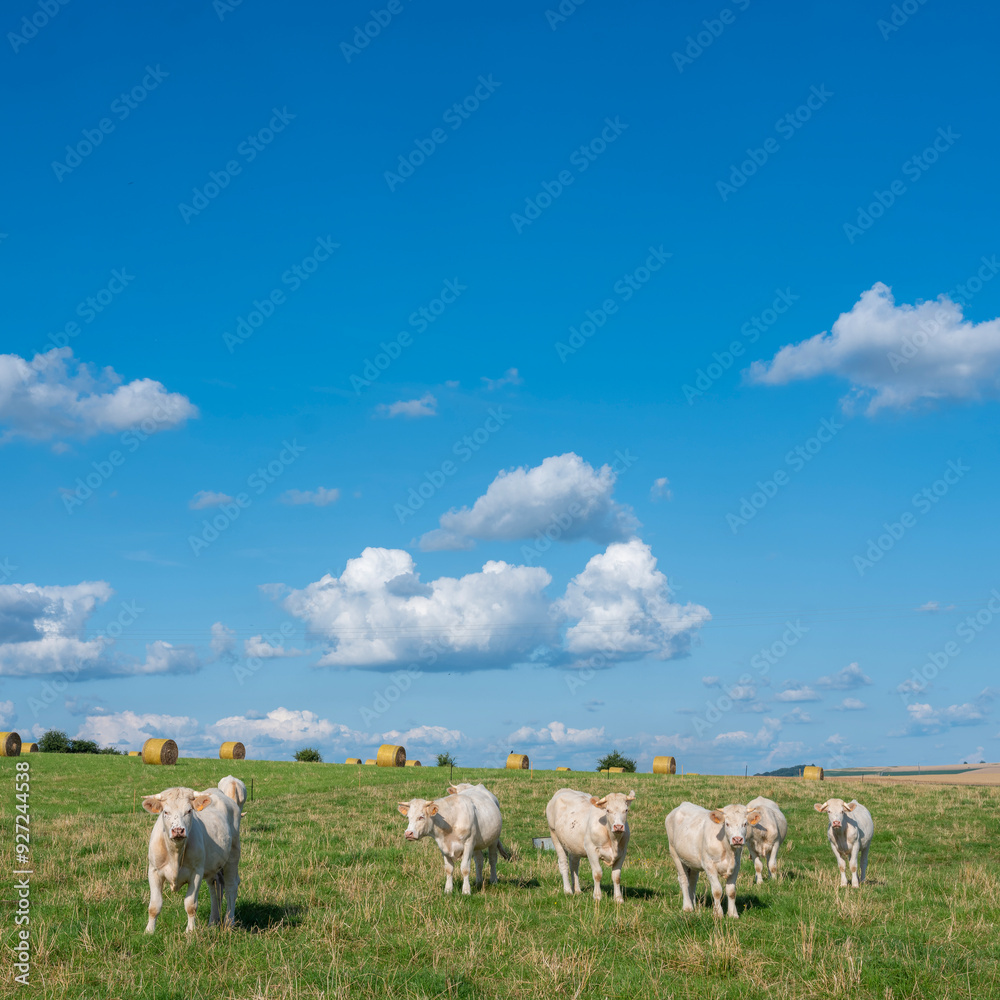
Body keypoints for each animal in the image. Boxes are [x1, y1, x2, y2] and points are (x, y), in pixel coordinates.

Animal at [142, 786, 241, 933]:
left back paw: (229, 922)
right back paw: (213, 922)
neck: (175, 853)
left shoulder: (196, 873)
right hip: (213, 867)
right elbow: (154, 905)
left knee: (231, 887)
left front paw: (190, 931)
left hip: (233, 855)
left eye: (189, 811)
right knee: (216, 888)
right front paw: (149, 931)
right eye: (165, 811)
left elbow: (190, 905)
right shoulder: (154, 871)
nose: (178, 830)